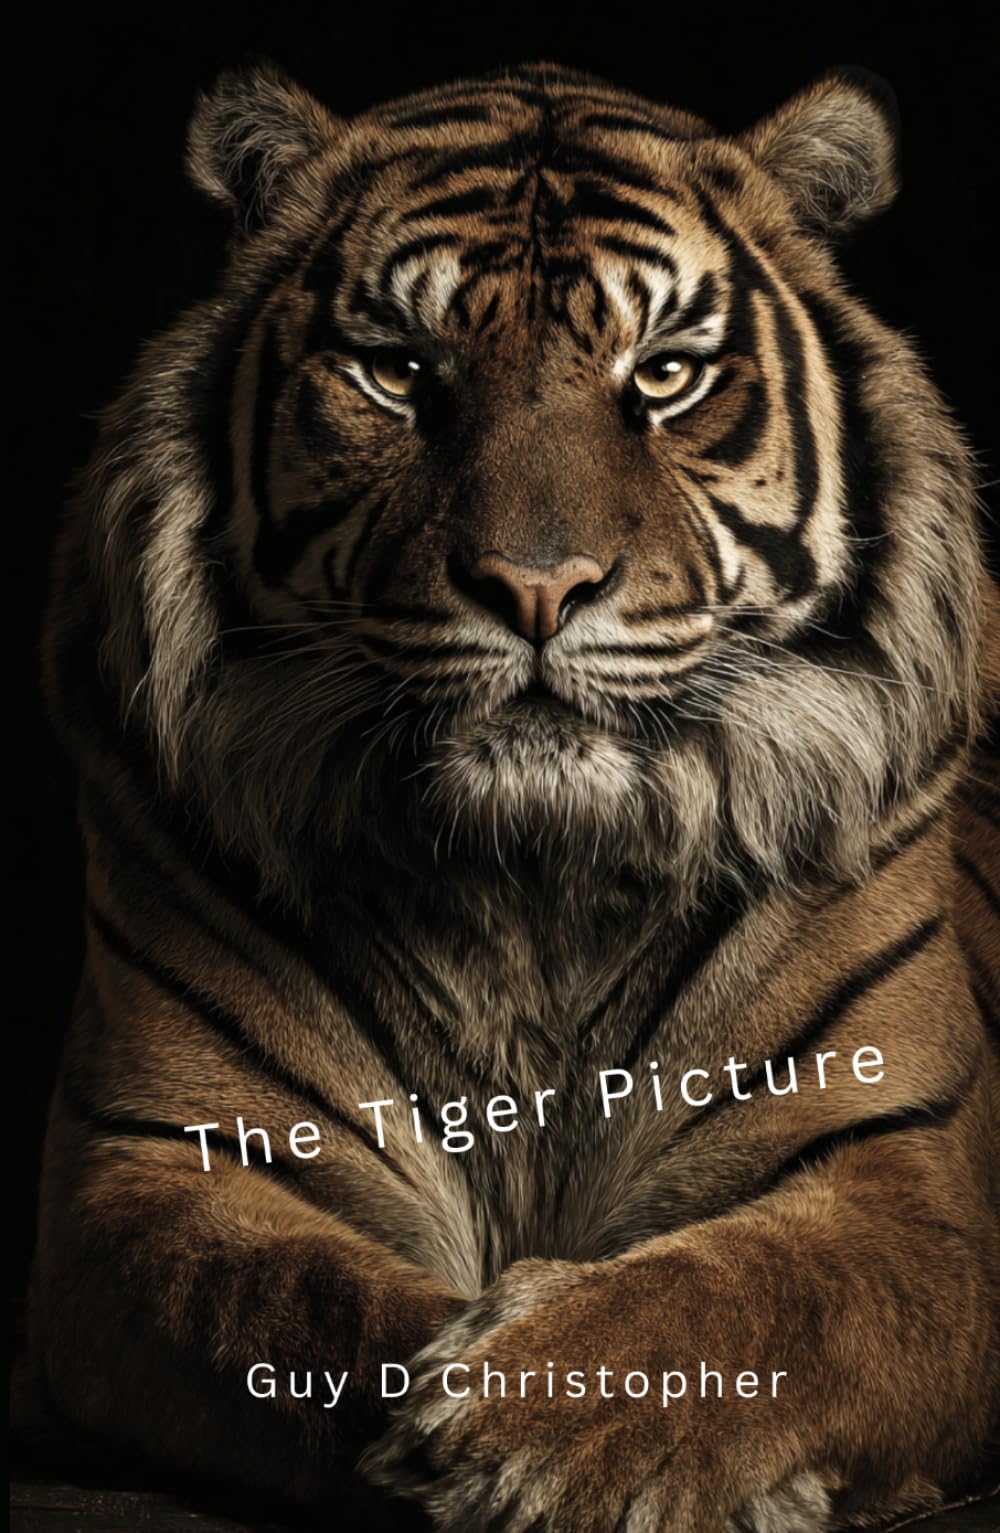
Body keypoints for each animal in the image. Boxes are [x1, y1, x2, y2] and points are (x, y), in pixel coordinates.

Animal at [25, 56, 999, 1533]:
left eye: (664, 375)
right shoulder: (148, 1172)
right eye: (397, 373)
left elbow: (756, 1295)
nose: (537, 586)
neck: (534, 877)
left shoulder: (910, 1184)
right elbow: (293, 1303)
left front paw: (524, 1415)